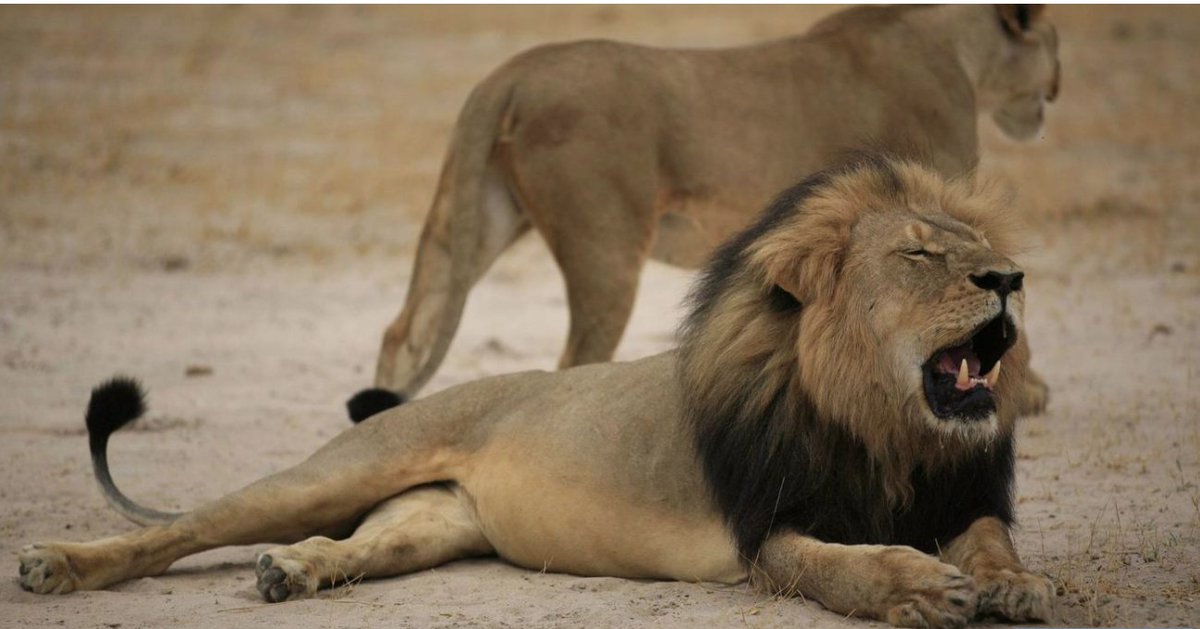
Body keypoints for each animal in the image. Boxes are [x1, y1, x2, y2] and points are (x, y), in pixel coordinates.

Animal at [19, 157, 1054, 628]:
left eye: (977, 248)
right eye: (921, 256)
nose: (1011, 278)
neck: (887, 429)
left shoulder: (958, 493)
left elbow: (990, 538)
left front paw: (1014, 584)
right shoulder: (768, 528)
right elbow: (844, 566)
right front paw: (919, 586)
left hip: (430, 521)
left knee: (353, 544)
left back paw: (293, 572)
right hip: (338, 470)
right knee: (179, 530)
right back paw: (57, 565)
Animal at [361, 4, 1060, 417]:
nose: (1056, 86)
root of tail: (510, 73)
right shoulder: (934, 199)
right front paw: (1023, 392)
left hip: (477, 217)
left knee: (405, 328)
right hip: (605, 247)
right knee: (575, 360)